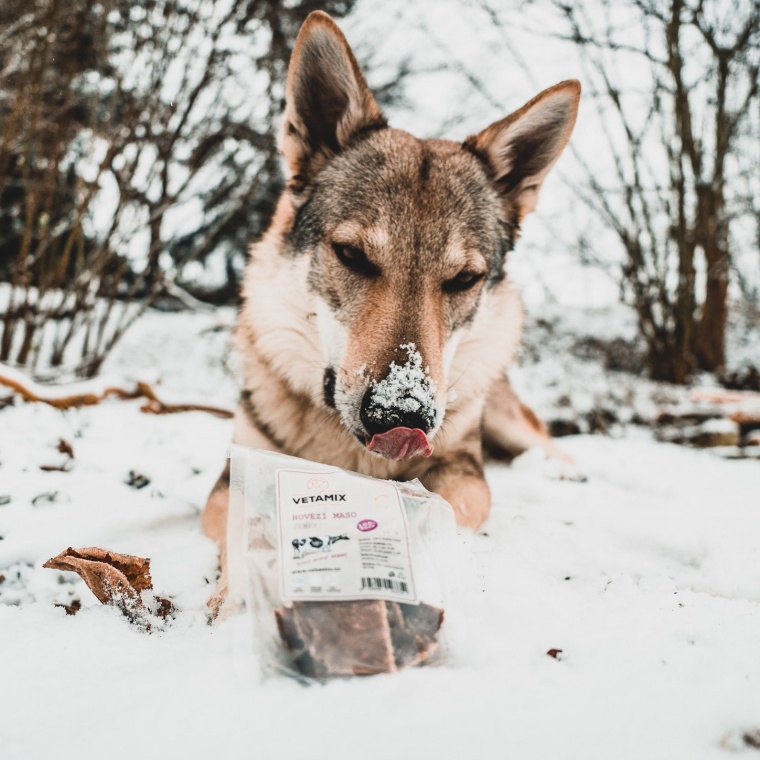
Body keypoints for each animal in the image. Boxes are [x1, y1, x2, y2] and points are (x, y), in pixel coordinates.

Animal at [202, 10, 576, 604]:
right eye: (352, 255)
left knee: (545, 440)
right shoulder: (232, 475)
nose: (402, 416)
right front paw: (239, 602)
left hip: (496, 410)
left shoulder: (462, 471)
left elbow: (444, 510)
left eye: (464, 279)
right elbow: (244, 530)